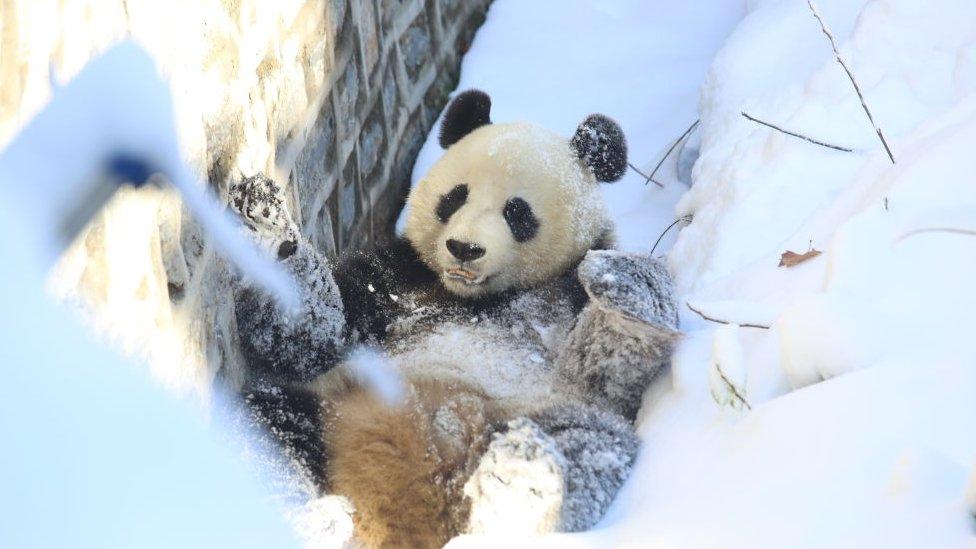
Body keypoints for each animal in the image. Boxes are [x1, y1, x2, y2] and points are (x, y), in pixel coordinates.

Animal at [230, 90, 680, 548]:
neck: (476, 299)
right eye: (456, 197)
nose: (464, 248)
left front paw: (622, 288)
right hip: (329, 411)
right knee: (270, 425)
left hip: (537, 411)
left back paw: (517, 481)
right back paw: (317, 520)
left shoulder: (566, 295)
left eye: (517, 212)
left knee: (588, 446)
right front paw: (266, 224)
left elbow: (610, 371)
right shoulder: (394, 277)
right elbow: (313, 342)